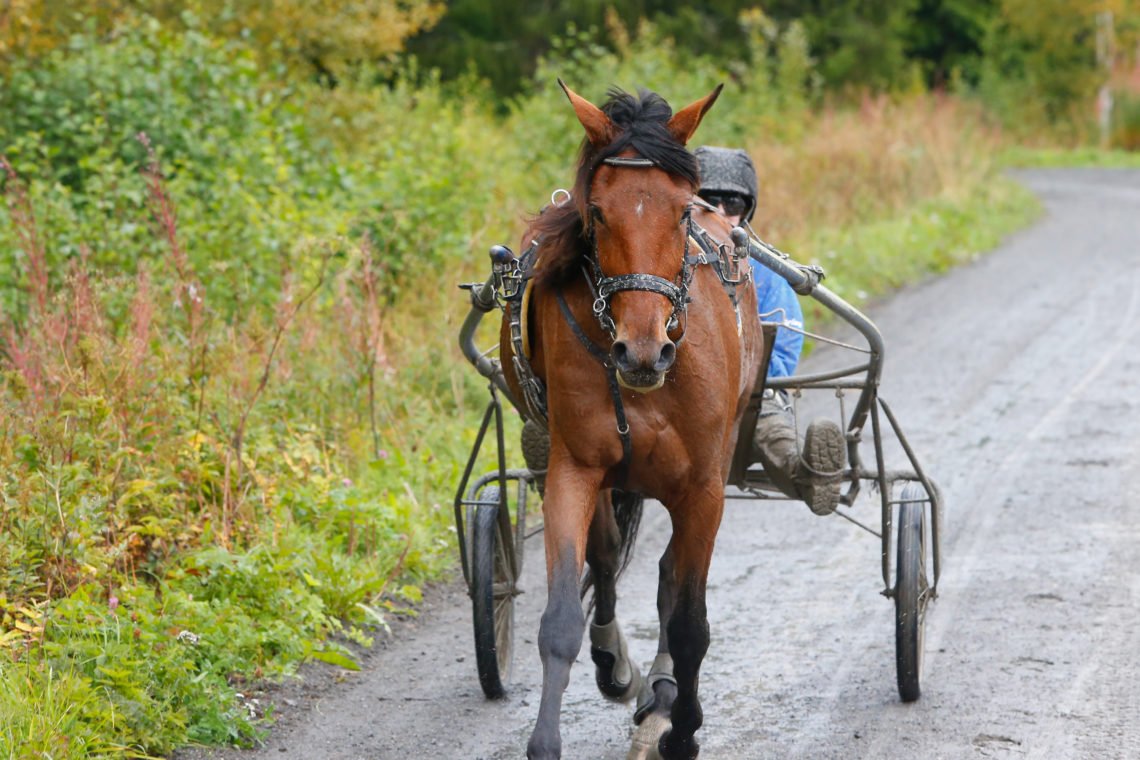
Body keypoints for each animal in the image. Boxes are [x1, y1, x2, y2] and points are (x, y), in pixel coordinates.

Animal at [503, 83, 761, 760]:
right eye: (596, 213)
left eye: (681, 212)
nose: (642, 351)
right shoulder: (574, 468)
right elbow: (561, 617)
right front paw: (546, 740)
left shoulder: (703, 487)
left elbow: (689, 620)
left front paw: (684, 731)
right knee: (607, 555)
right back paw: (620, 667)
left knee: (670, 579)